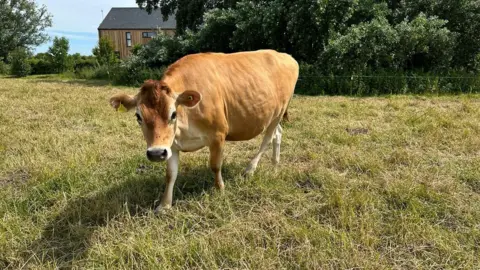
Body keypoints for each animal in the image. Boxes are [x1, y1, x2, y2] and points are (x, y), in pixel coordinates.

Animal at [110, 50, 298, 211]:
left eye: (173, 114)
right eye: (138, 116)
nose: (156, 153)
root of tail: (285, 55)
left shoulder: (218, 134)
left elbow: (215, 165)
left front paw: (220, 189)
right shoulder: (171, 145)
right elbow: (170, 174)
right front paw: (164, 205)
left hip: (279, 111)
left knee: (268, 138)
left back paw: (250, 169)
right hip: (273, 115)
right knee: (278, 134)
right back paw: (275, 166)